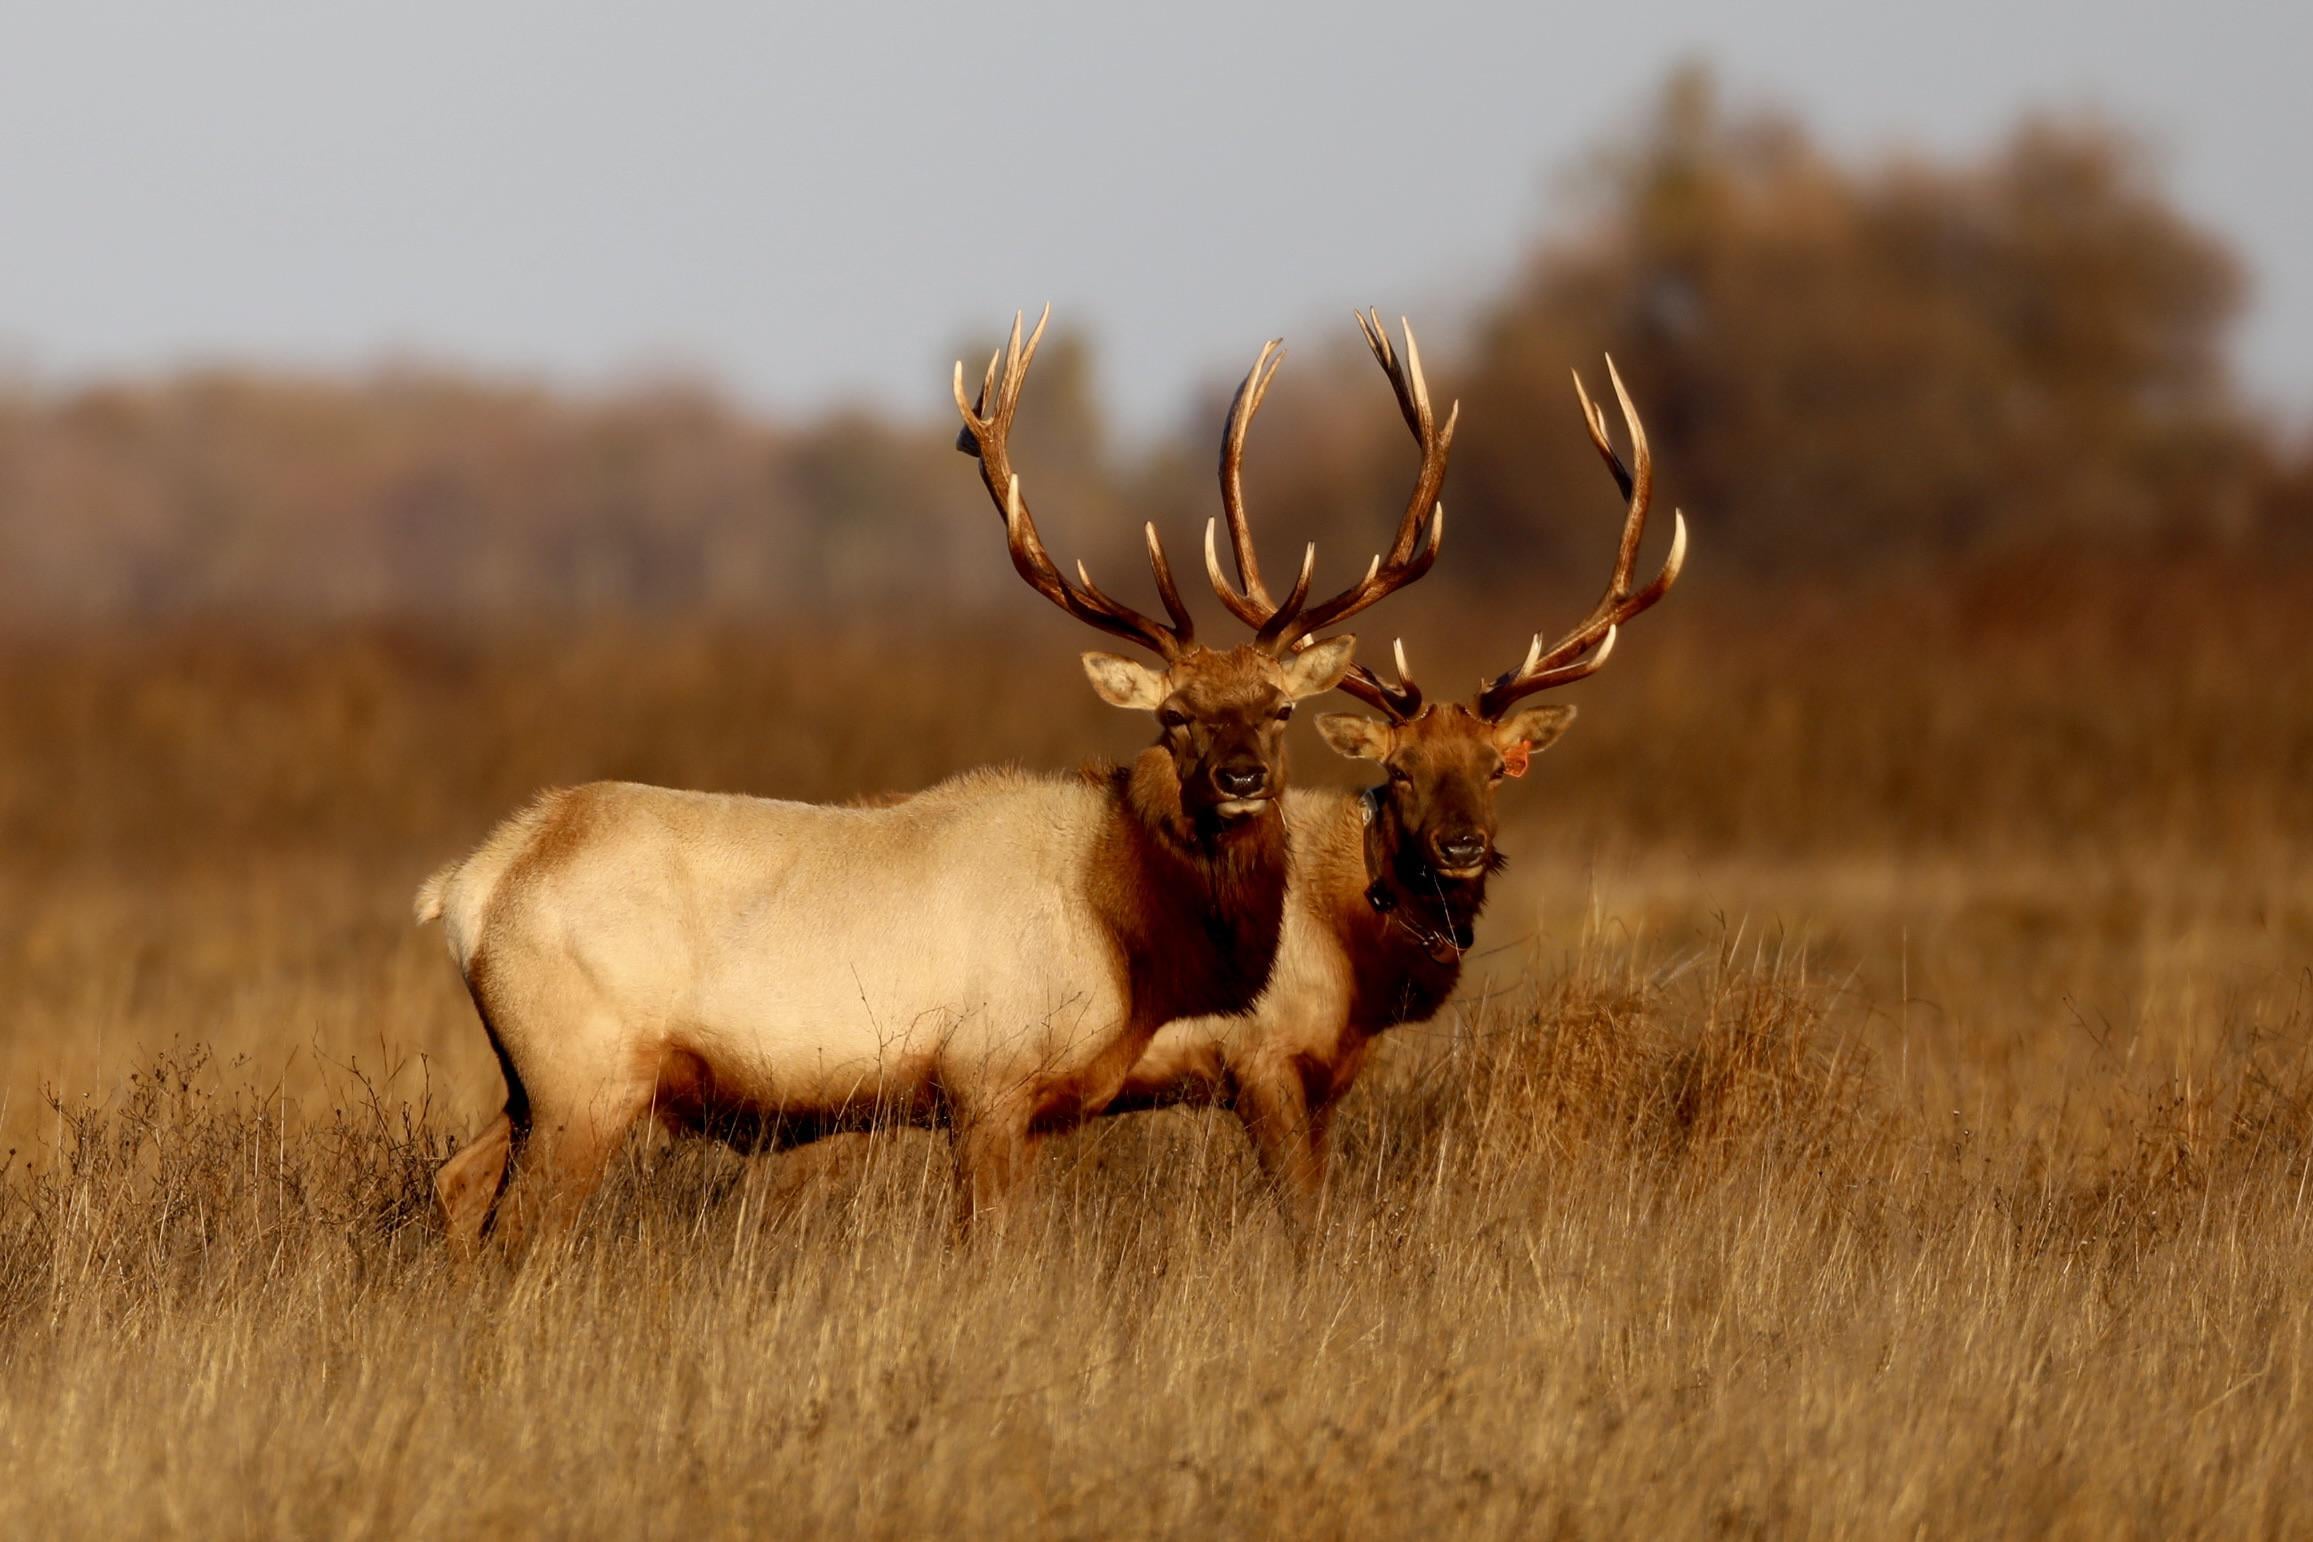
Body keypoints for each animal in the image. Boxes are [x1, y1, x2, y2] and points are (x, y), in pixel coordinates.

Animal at [414, 308, 1447, 1252]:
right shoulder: (987, 1078)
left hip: (531, 1082)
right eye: (1175, 715)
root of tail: (472, 884)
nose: (1238, 778)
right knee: (519, 1226)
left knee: (454, 1185)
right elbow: (989, 1247)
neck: (1126, 932)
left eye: (1279, 709)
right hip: (584, 1077)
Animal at [1105, 321, 1687, 1221]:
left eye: (1496, 768)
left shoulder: (1329, 1079)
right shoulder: (1260, 1063)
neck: (1350, 954)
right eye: (1402, 769)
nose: (1460, 845)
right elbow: (1302, 1216)